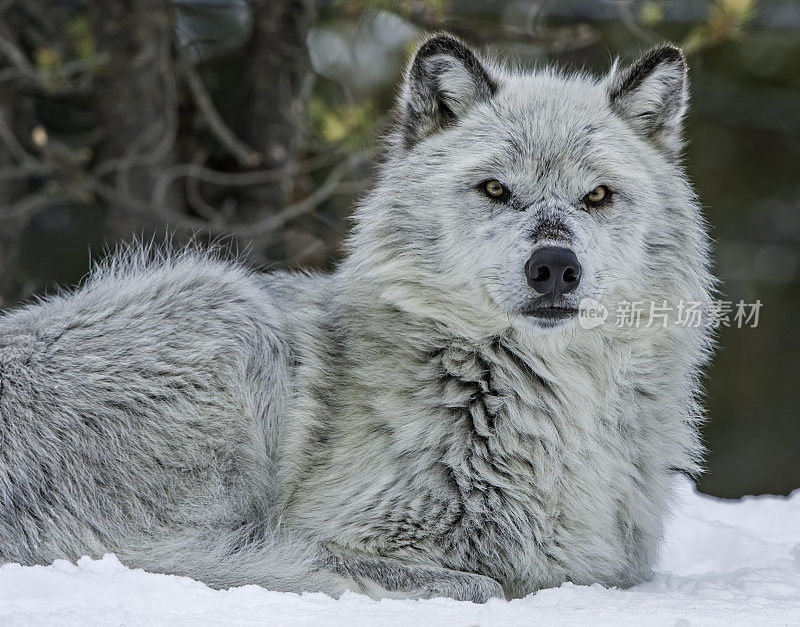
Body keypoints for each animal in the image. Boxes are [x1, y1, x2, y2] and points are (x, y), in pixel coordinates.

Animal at [0, 35, 712, 604]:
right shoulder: (352, 525)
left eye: (597, 196)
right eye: (495, 189)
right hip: (228, 312)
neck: (548, 405)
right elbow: (447, 574)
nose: (555, 267)